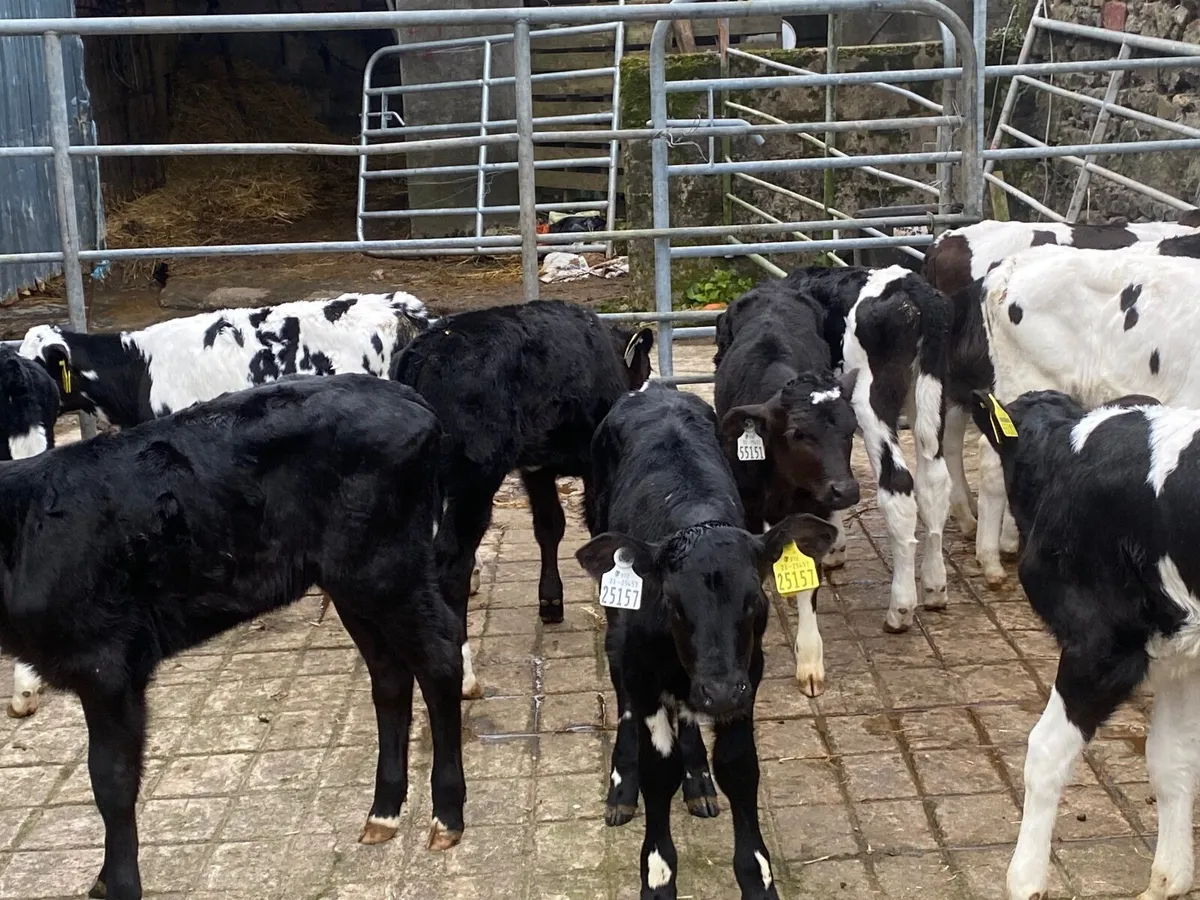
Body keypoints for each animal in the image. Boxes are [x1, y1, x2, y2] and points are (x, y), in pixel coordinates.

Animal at [0, 375, 465, 900]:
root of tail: (410, 398)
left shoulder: (107, 664)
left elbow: (111, 780)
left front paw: (117, 883)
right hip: (350, 582)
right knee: (390, 677)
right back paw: (383, 812)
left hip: (387, 568)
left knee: (440, 658)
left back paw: (446, 816)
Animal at [391, 299, 653, 698]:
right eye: (645, 367)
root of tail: (423, 352)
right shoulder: (593, 463)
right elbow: (597, 524)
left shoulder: (535, 467)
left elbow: (549, 526)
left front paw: (551, 600)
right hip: (475, 477)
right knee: (452, 561)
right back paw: (464, 674)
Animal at [578, 383, 837, 900]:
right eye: (674, 604)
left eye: (755, 600)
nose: (717, 691)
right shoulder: (645, 672)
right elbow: (657, 770)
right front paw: (658, 873)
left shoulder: (745, 679)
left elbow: (739, 767)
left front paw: (758, 875)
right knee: (622, 693)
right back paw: (622, 782)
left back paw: (697, 778)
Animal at [712, 280, 859, 695]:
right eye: (797, 433)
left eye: (852, 428)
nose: (847, 490)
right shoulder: (747, 502)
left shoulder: (814, 505)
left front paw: (809, 660)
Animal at [970, 388, 1200, 900]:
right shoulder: (1180, 653)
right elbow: (1171, 757)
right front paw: (1170, 878)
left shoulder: (1102, 648)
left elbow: (1045, 752)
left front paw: (1024, 880)